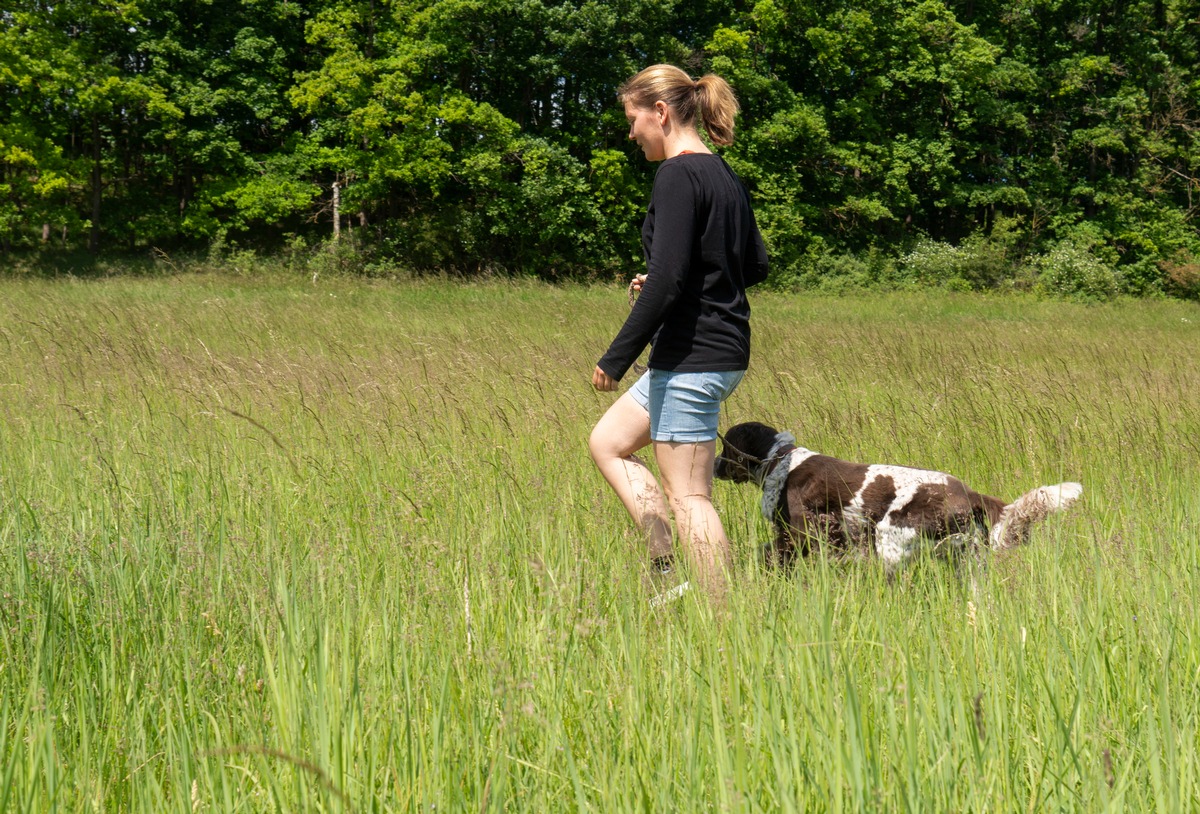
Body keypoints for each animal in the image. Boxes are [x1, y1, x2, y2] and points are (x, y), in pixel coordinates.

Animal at [710, 425, 1089, 576]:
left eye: (726, 446)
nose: (713, 465)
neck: (780, 460)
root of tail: (967, 492)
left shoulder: (798, 534)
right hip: (963, 556)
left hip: (891, 539)